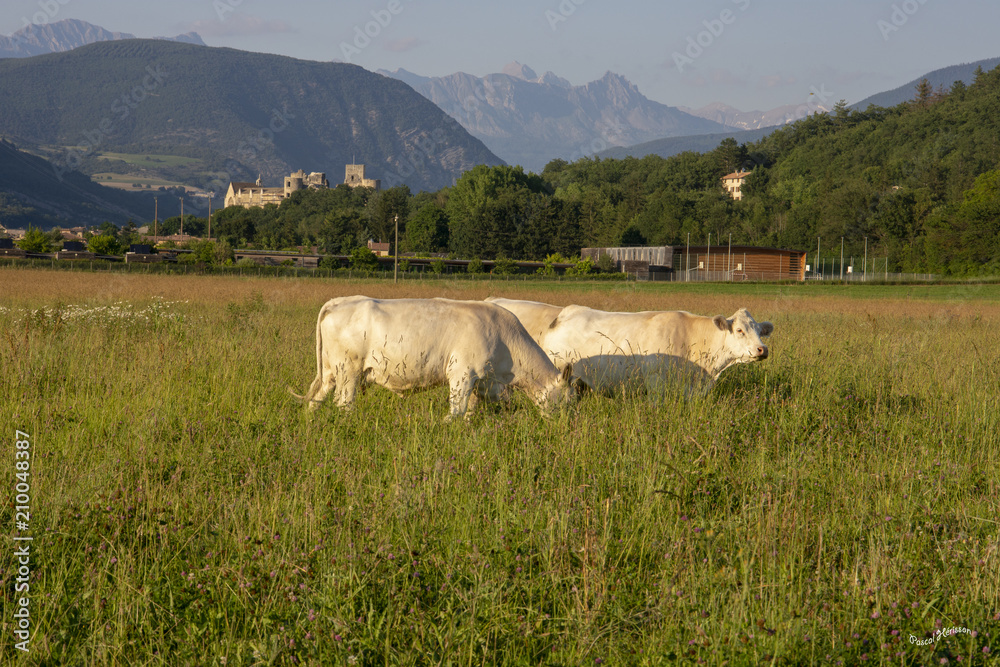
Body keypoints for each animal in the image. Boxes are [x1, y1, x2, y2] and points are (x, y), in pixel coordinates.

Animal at [291, 296, 576, 419]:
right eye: (567, 401)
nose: (566, 425)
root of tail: (340, 301)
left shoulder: (483, 382)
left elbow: (471, 410)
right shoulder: (461, 374)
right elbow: (456, 412)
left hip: (331, 372)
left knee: (316, 400)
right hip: (348, 372)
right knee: (344, 404)